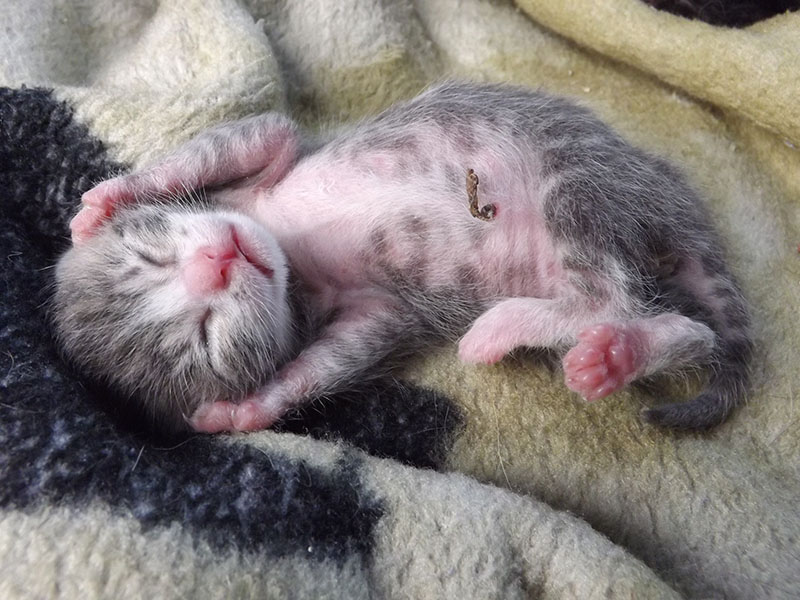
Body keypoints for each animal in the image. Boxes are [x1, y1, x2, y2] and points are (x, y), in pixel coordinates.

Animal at [53, 82, 752, 434]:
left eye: (149, 255)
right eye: (206, 339)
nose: (216, 262)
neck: (288, 253)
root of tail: (669, 201)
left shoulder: (265, 165)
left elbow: (243, 136)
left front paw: (103, 202)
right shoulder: (375, 311)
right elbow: (334, 360)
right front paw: (247, 410)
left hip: (577, 180)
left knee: (616, 292)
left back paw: (520, 333)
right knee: (671, 324)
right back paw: (608, 356)